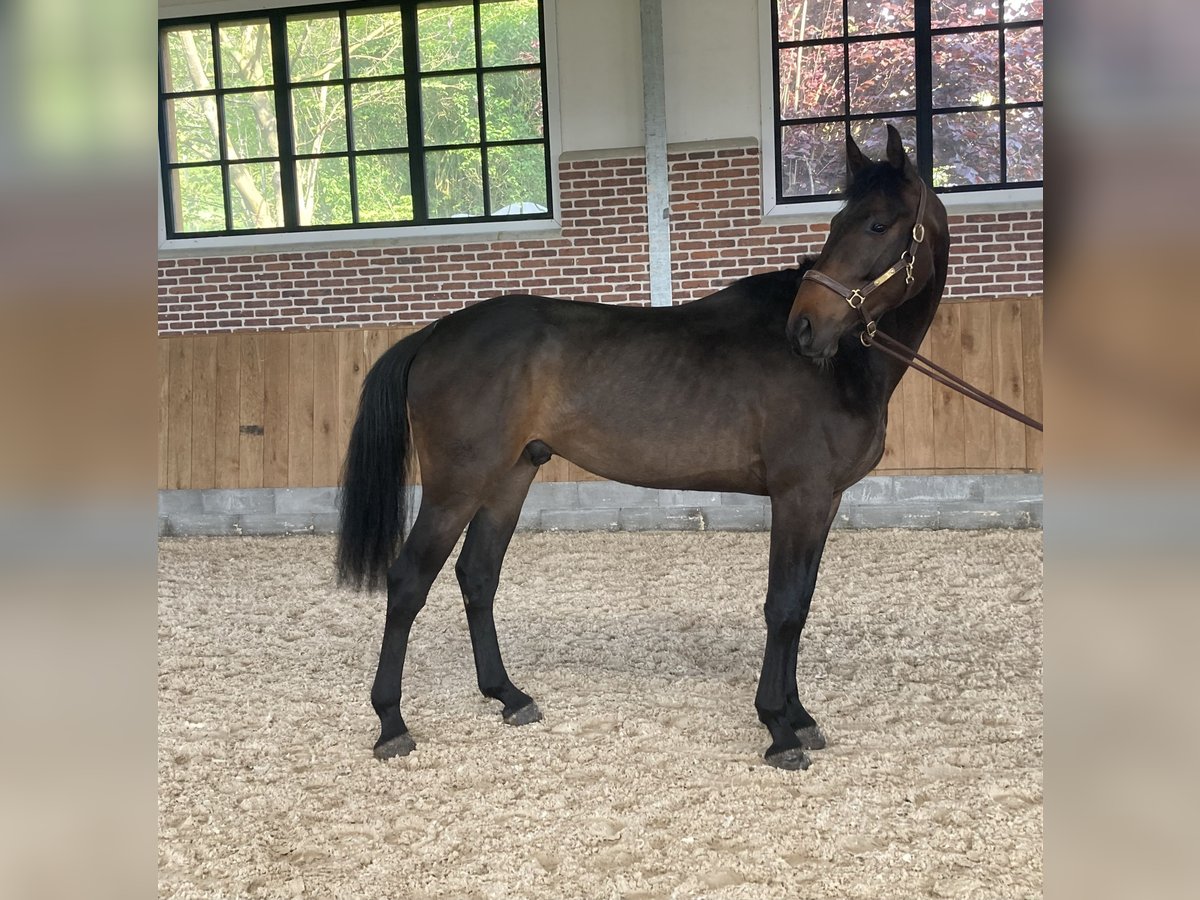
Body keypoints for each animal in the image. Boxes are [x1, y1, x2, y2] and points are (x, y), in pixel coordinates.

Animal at [336, 127, 945, 772]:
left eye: (877, 224)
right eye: (841, 223)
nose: (805, 328)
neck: (843, 367)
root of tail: (435, 333)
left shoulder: (824, 502)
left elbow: (799, 605)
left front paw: (800, 717)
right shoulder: (798, 497)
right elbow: (782, 607)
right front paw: (779, 727)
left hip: (508, 479)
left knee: (477, 575)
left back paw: (508, 695)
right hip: (456, 487)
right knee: (408, 582)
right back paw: (391, 723)